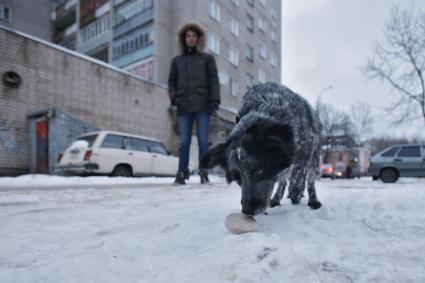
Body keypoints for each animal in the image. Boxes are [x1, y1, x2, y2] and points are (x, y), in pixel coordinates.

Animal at [200, 82, 320, 215]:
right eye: (237, 178)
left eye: (258, 171)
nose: (247, 211)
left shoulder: (307, 141)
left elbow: (300, 169)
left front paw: (296, 190)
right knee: (283, 180)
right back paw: (276, 198)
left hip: (314, 158)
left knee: (310, 180)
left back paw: (313, 200)